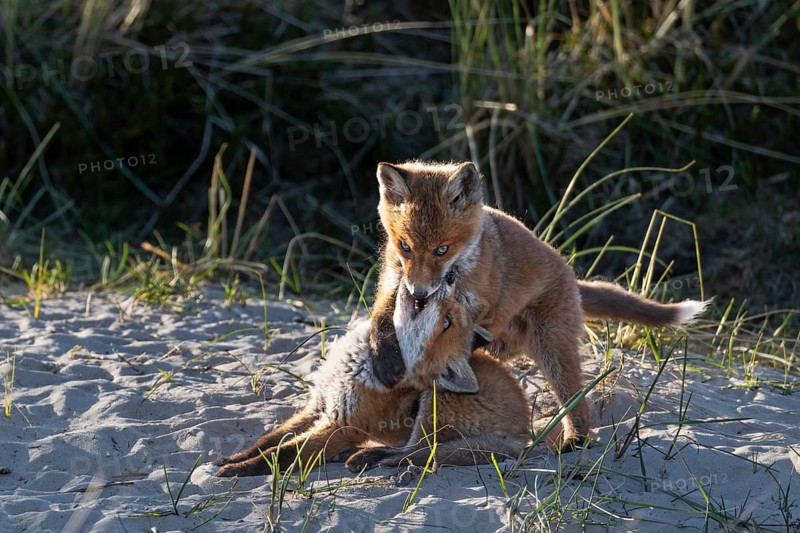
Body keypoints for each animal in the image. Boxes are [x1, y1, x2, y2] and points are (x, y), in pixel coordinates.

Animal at [213, 288, 530, 477]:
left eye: (447, 323)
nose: (444, 284)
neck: (357, 364)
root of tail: (524, 428)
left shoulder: (339, 425)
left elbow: (282, 453)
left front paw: (239, 469)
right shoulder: (318, 406)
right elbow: (268, 440)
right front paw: (234, 458)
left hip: (434, 402)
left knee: (416, 453)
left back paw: (367, 457)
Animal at [368, 160, 709, 450]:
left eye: (442, 249)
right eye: (405, 246)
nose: (420, 292)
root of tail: (570, 274)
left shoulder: (477, 305)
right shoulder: (393, 283)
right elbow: (381, 322)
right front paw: (384, 360)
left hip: (552, 348)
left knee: (576, 399)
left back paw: (575, 440)